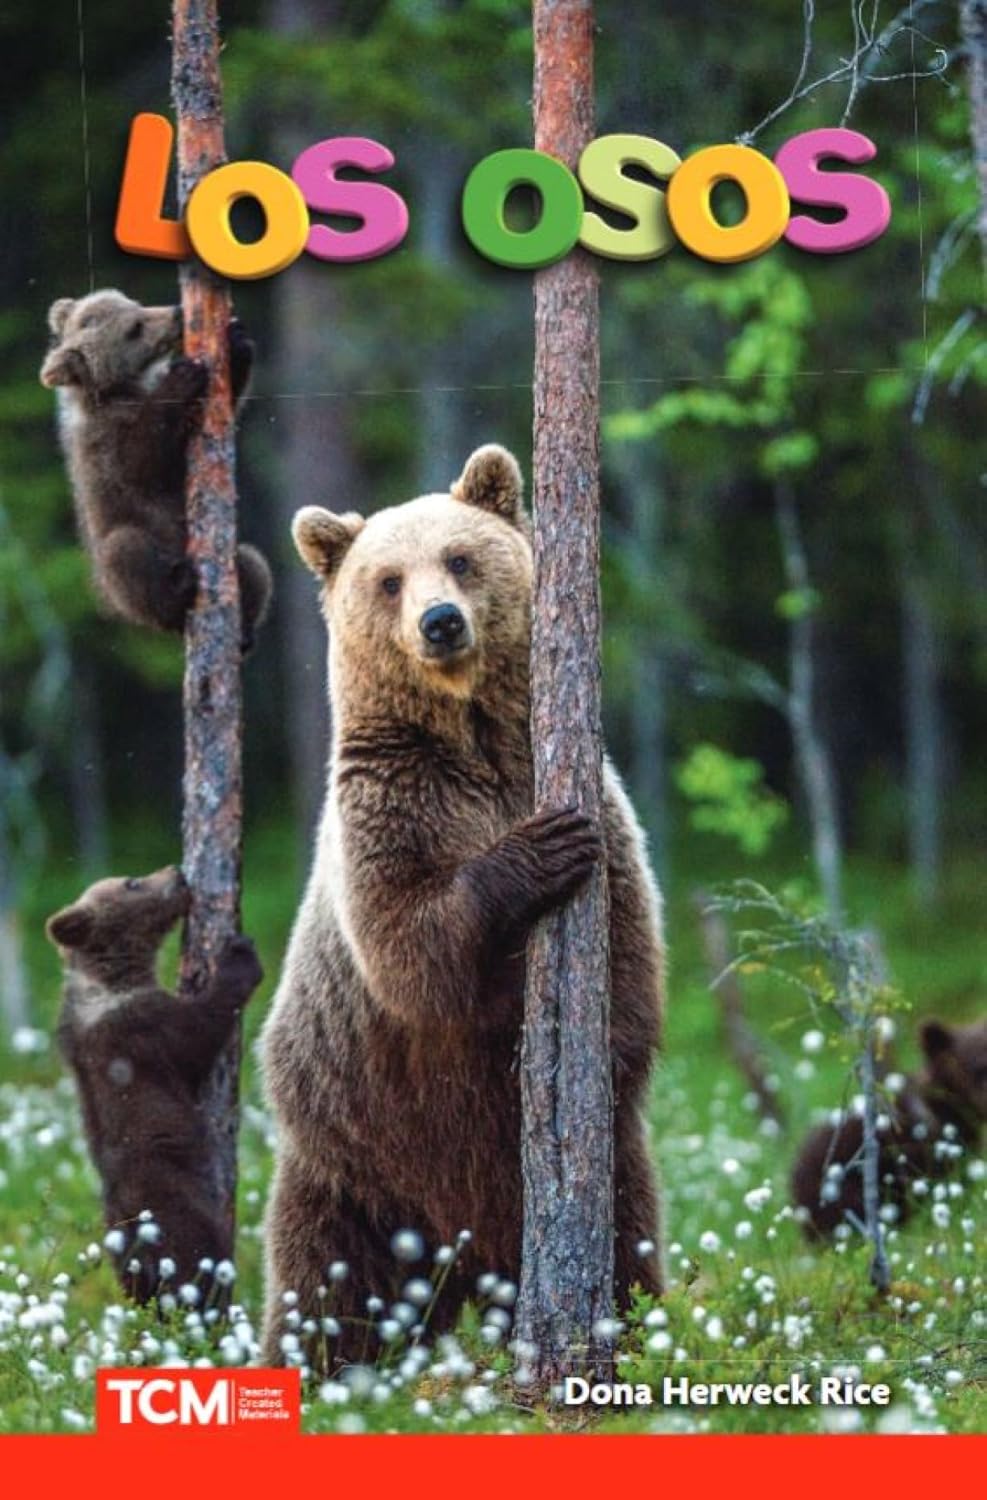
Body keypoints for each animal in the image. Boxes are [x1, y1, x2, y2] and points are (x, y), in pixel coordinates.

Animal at [40, 288, 272, 651]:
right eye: (134, 328)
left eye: (135, 304)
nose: (177, 312)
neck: (122, 389)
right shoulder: (106, 443)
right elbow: (141, 464)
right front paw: (183, 375)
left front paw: (236, 340)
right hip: (119, 569)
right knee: (126, 553)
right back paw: (179, 587)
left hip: (235, 561)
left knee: (252, 562)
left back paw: (245, 631)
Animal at [47, 866, 264, 1302]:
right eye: (131, 882)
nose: (177, 873)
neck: (112, 977)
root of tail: (137, 1248)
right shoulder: (144, 1029)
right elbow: (200, 1032)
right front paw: (239, 955)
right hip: (179, 1212)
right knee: (200, 1264)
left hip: (120, 1253)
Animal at [259, 443, 665, 1370]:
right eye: (387, 579)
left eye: (459, 558)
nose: (440, 622)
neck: (471, 736)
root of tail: (465, 1252)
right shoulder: (392, 808)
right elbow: (411, 948)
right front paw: (537, 852)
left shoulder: (593, 800)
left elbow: (627, 953)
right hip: (354, 1158)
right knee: (325, 1286)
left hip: (599, 1177)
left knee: (628, 1241)